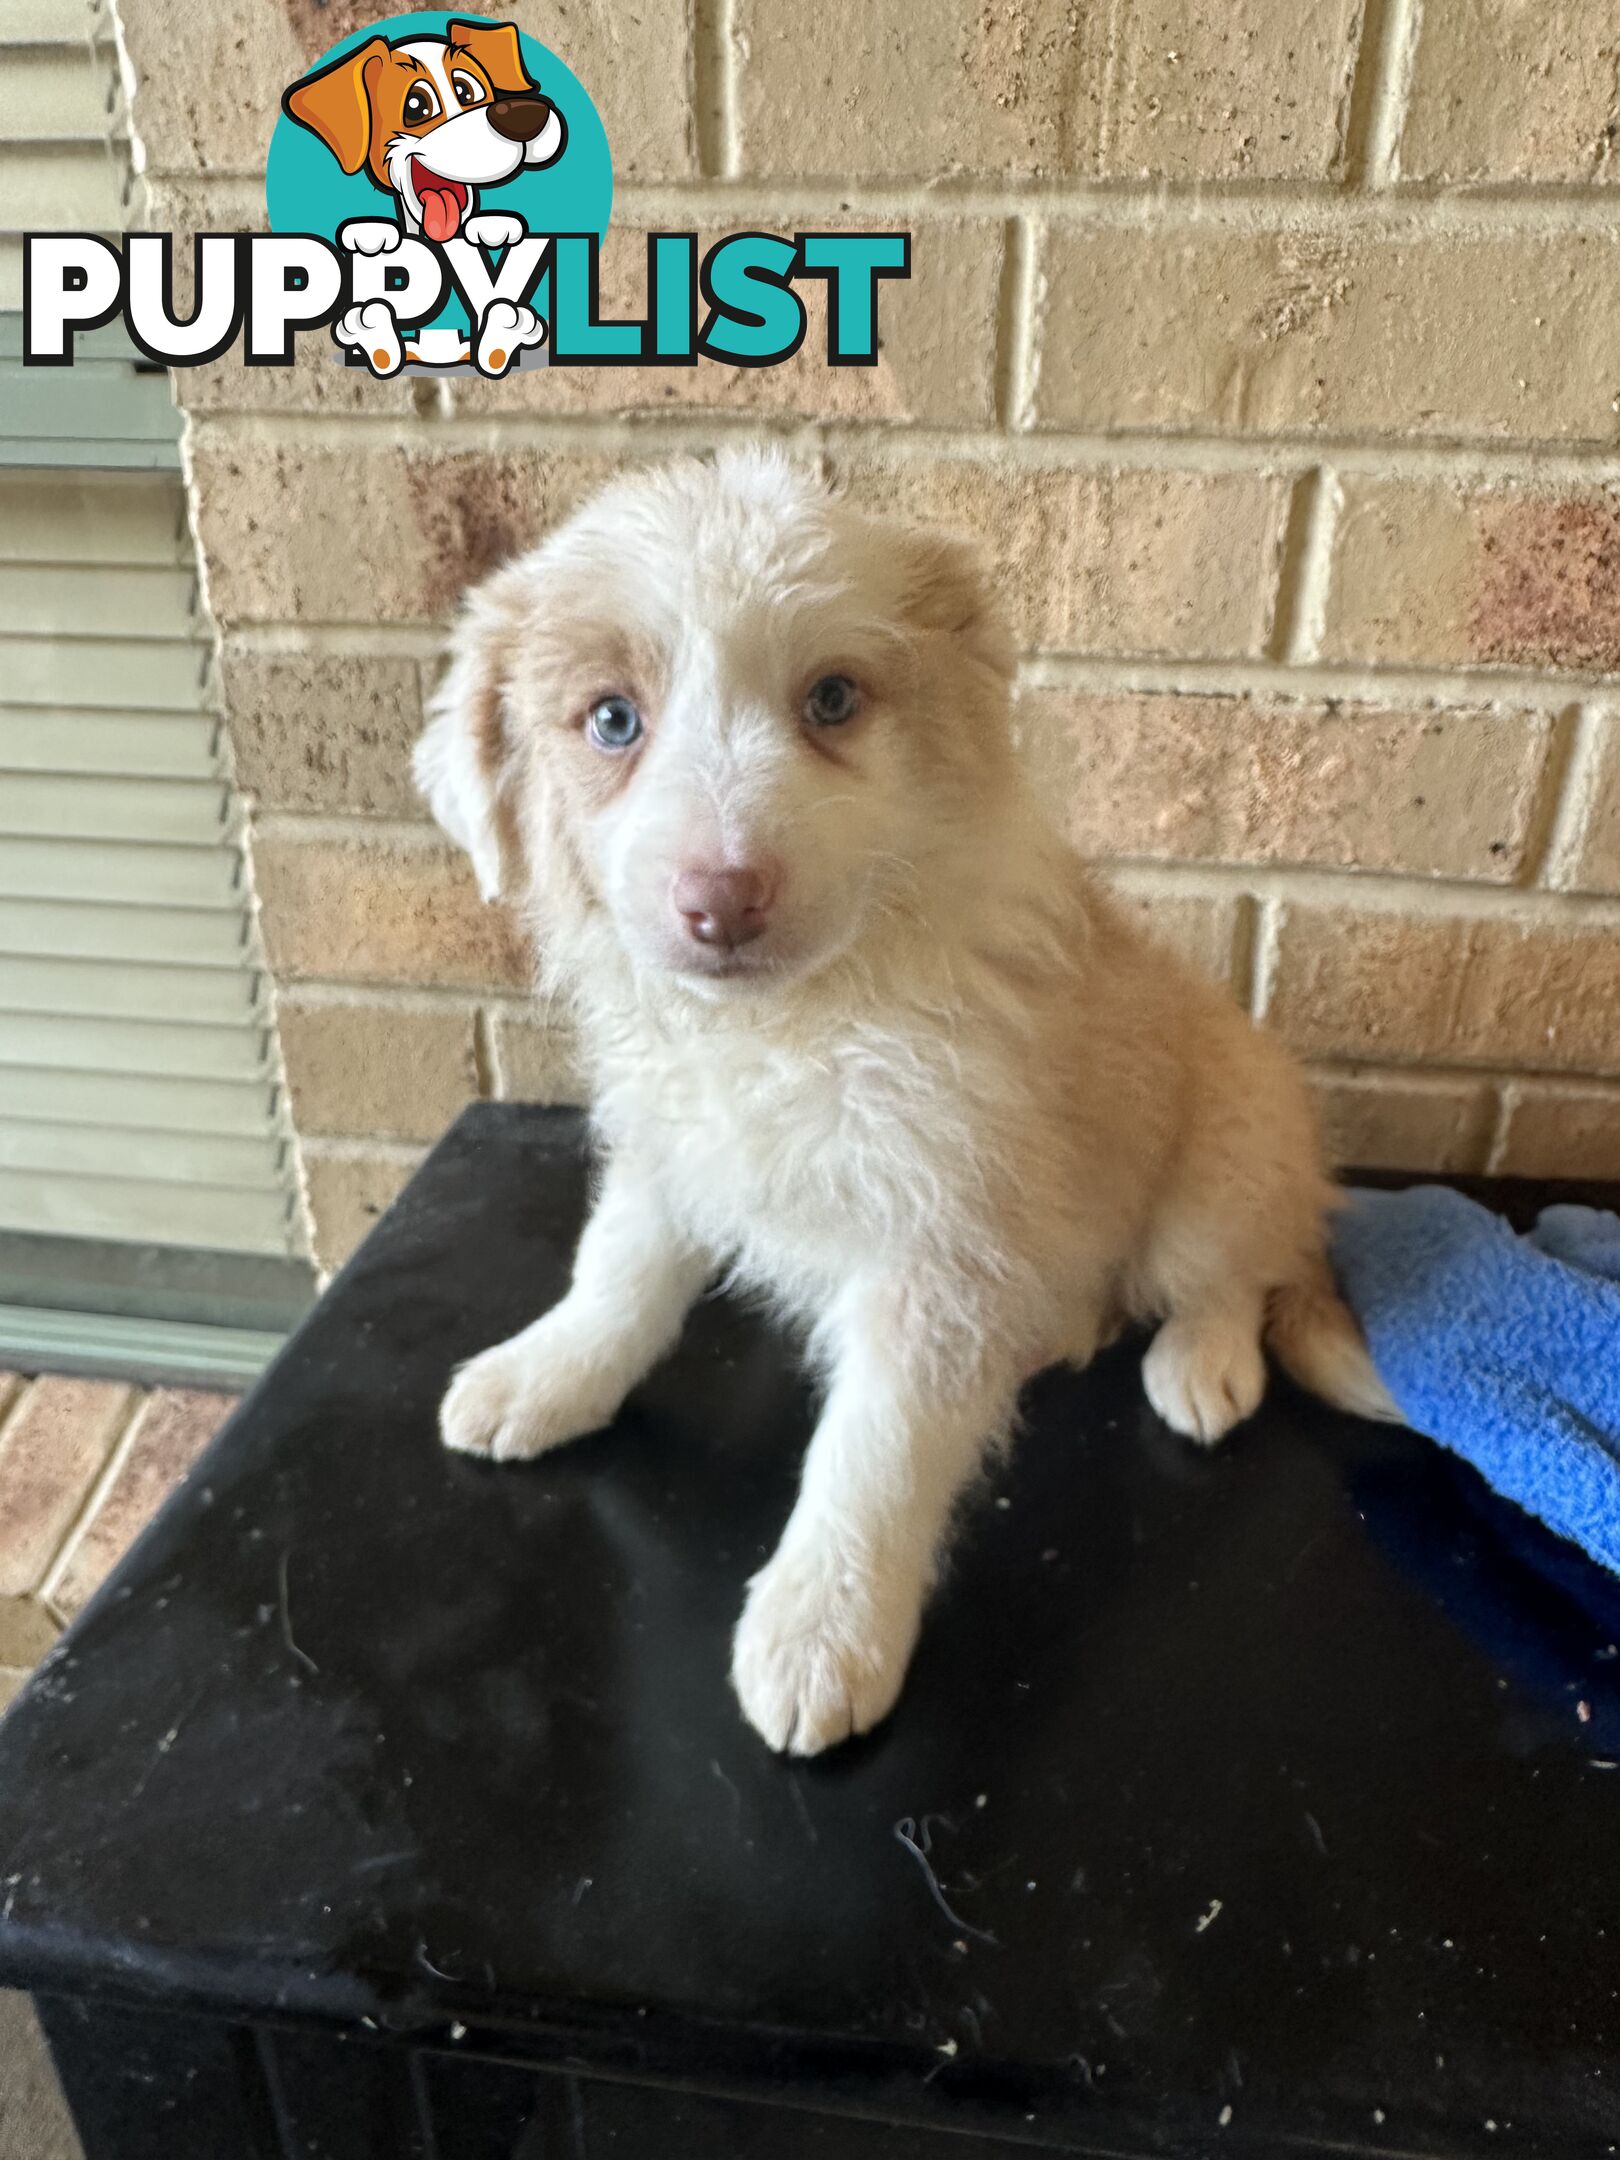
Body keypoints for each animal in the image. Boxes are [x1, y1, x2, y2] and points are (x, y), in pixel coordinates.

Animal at [412, 451, 1391, 1753]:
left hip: (1223, 1154)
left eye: (832, 700)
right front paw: (547, 1374)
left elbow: (872, 1453)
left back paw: (1200, 1365)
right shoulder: (675, 1150)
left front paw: (823, 1631)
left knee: (1229, 1275)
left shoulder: (936, 1240)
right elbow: (616, 1274)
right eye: (612, 719)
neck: (796, 1021)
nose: (722, 901)